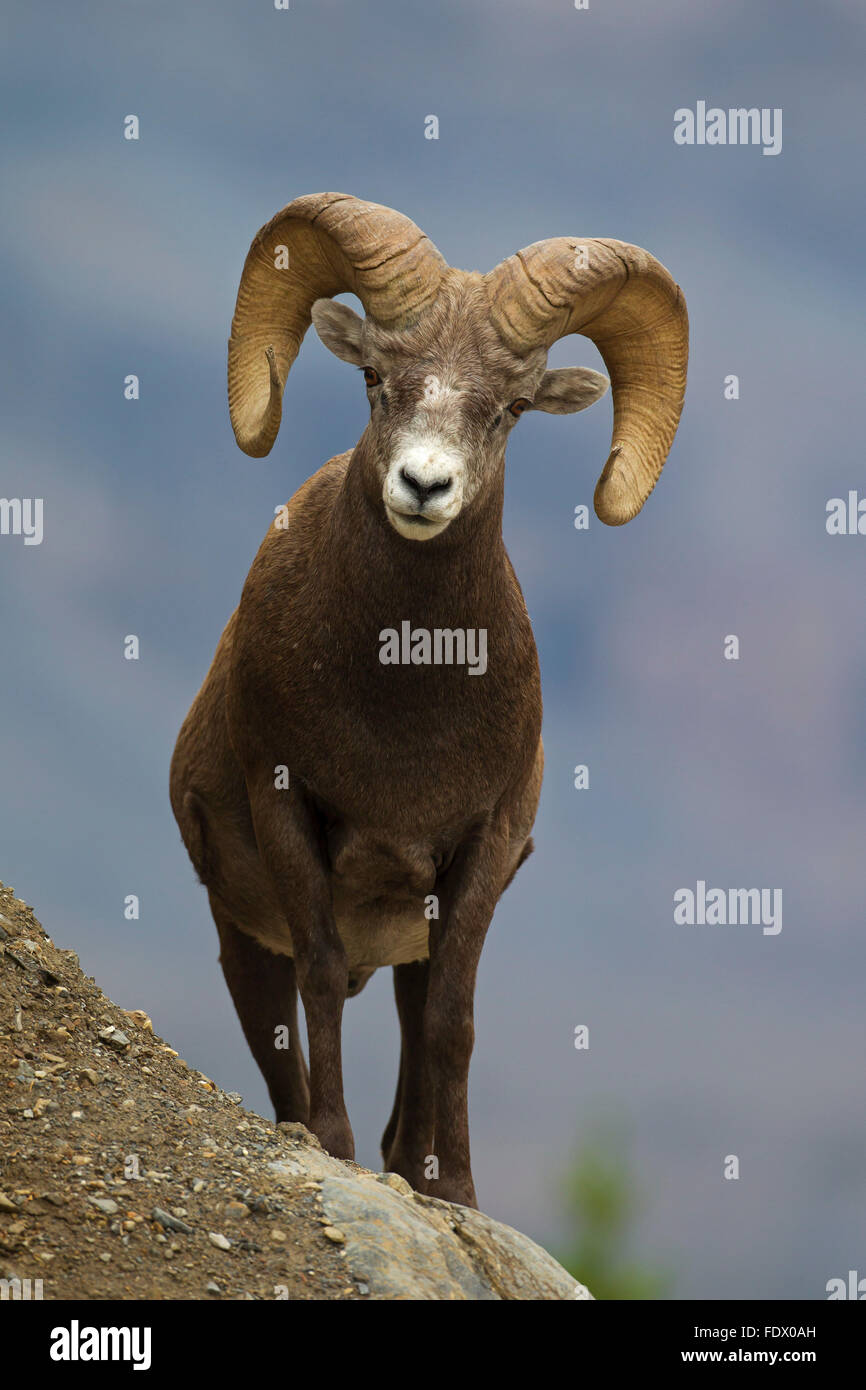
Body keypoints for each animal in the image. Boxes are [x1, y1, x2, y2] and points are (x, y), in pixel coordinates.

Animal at [170, 193, 688, 1208]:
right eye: (376, 378)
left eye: (512, 408)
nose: (422, 485)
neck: (403, 697)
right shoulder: (289, 810)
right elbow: (323, 976)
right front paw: (334, 1148)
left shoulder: (479, 845)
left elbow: (452, 1018)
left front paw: (454, 1192)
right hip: (242, 939)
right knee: (278, 1038)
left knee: (417, 1023)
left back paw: (413, 1163)